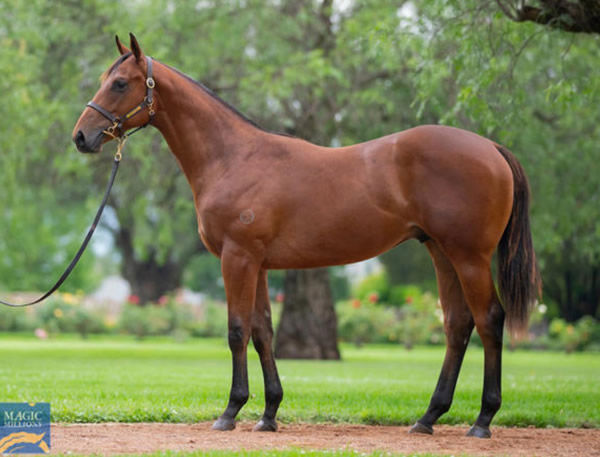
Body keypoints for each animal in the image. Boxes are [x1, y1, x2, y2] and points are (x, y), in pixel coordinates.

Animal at [72, 33, 540, 436]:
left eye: (119, 83)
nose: (81, 137)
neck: (235, 158)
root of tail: (490, 148)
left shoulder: (237, 258)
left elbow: (237, 330)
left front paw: (230, 411)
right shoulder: (258, 264)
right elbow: (263, 331)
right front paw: (268, 413)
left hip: (470, 257)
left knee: (489, 320)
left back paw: (482, 420)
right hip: (442, 253)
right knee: (457, 324)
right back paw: (428, 417)